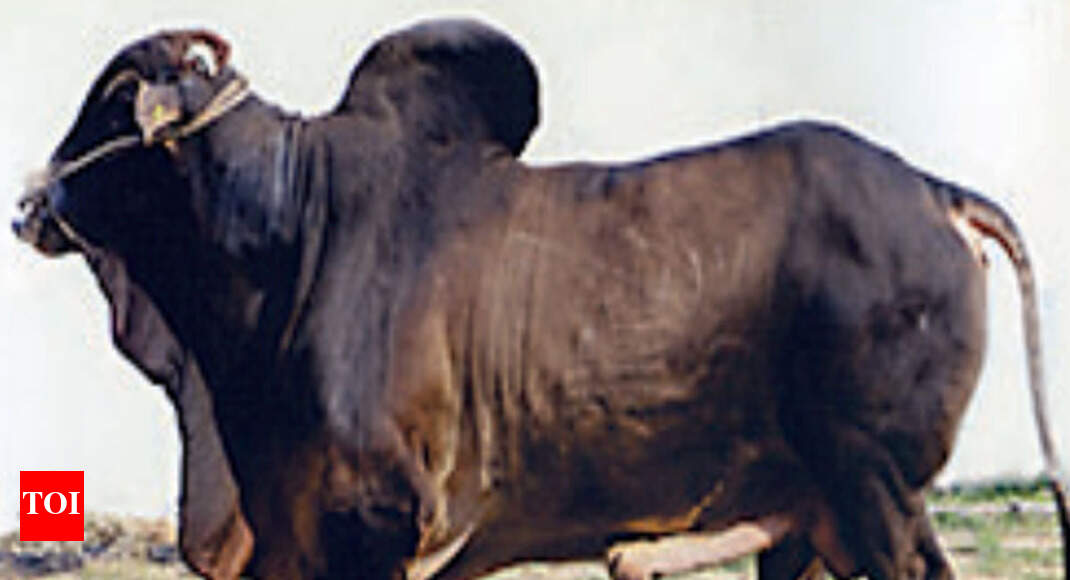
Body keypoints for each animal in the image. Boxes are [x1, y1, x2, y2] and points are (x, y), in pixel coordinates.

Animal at [11, 19, 1070, 580]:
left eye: (114, 95)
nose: (31, 201)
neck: (287, 237)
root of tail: (934, 191)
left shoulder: (373, 526)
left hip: (879, 488)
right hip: (817, 517)